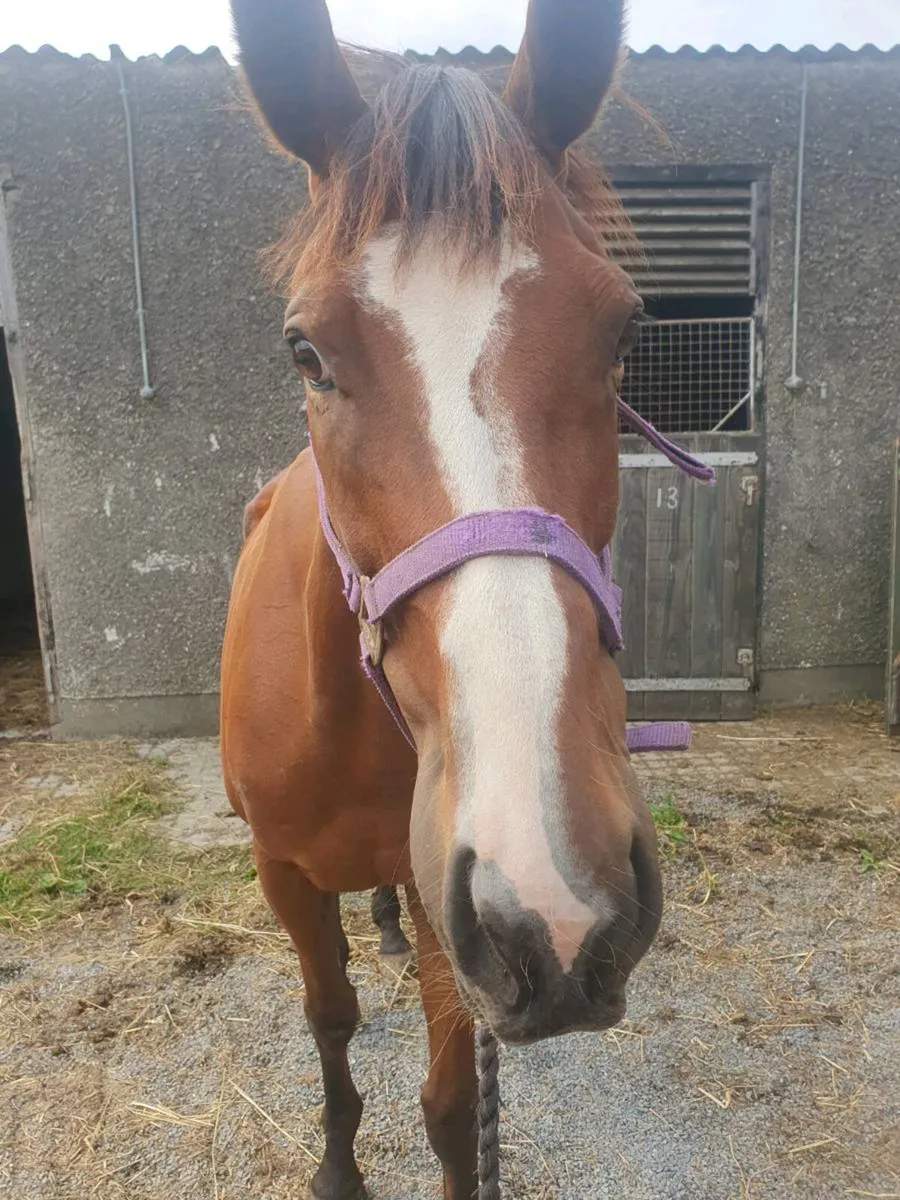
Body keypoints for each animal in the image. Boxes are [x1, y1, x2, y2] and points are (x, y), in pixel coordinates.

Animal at [221, 2, 669, 1196]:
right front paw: (337, 1165)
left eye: (623, 334)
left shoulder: (452, 902)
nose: (557, 888)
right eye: (305, 350)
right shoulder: (283, 875)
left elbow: (455, 1105)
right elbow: (327, 1018)